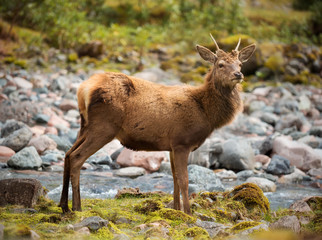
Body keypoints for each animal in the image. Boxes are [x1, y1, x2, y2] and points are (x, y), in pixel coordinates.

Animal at [59, 33, 256, 214]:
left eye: (240, 64)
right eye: (220, 64)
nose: (238, 74)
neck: (206, 112)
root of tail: (83, 89)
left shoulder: (172, 145)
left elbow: (174, 178)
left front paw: (176, 210)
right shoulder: (182, 142)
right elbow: (184, 180)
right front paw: (188, 213)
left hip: (85, 126)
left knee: (67, 154)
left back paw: (63, 205)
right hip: (104, 126)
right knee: (76, 157)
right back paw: (76, 207)